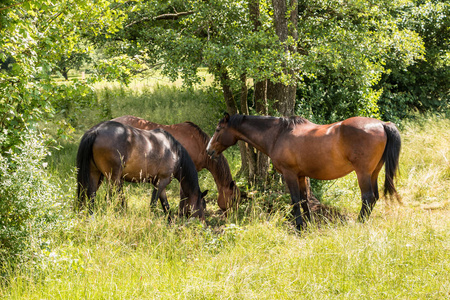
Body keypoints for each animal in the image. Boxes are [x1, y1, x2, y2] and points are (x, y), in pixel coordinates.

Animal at [76, 120, 207, 219]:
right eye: (203, 207)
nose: (203, 224)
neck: (174, 152)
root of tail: (96, 131)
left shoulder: (159, 183)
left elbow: (166, 205)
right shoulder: (162, 181)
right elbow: (154, 204)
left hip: (95, 174)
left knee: (92, 196)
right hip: (113, 179)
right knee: (111, 198)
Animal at [207, 113, 400, 231]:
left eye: (218, 130)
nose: (209, 151)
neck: (278, 134)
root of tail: (382, 124)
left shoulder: (290, 174)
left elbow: (294, 199)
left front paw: (299, 226)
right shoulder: (301, 176)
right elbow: (303, 199)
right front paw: (309, 223)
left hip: (363, 173)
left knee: (367, 197)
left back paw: (359, 223)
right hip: (374, 172)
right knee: (374, 197)